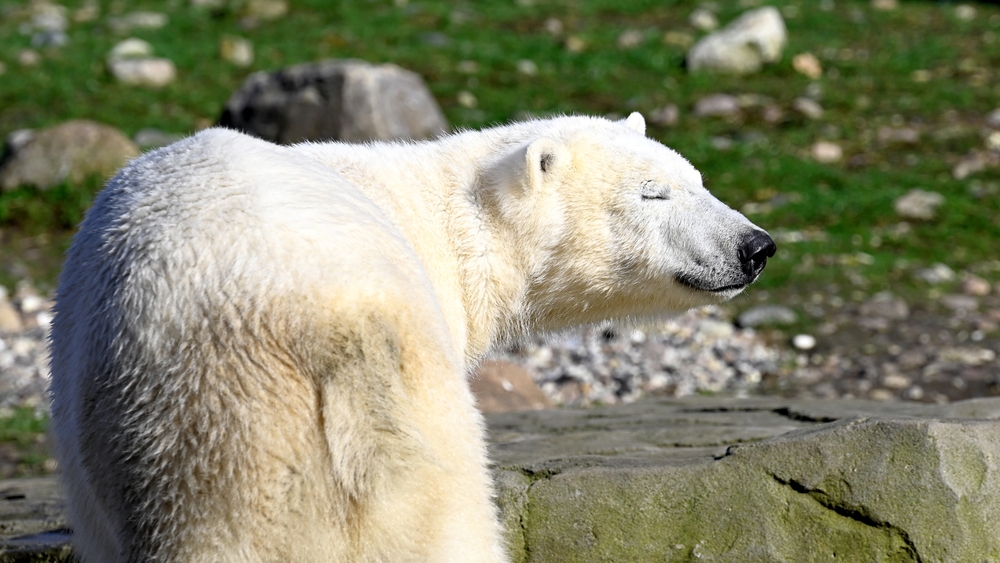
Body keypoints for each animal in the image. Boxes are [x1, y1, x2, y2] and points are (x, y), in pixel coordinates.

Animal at [48, 112, 772, 560]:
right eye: (654, 194)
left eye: (699, 180)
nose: (755, 246)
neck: (446, 219)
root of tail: (338, 339)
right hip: (232, 435)